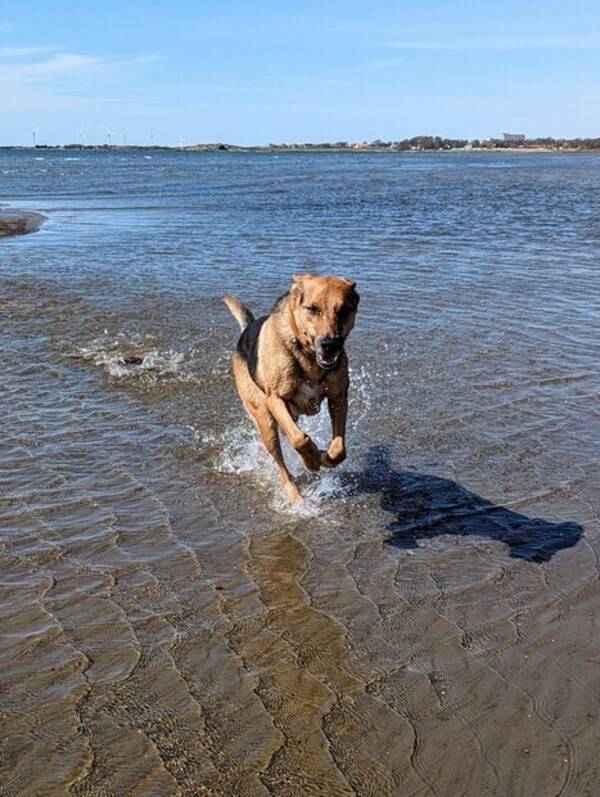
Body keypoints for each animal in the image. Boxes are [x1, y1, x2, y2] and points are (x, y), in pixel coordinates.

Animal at [223, 272, 358, 498]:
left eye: (344, 310)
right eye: (312, 309)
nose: (329, 345)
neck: (308, 358)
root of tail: (246, 331)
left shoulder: (338, 397)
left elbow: (339, 449)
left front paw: (324, 457)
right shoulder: (276, 399)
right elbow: (300, 439)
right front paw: (312, 461)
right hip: (264, 416)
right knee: (280, 461)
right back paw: (295, 496)